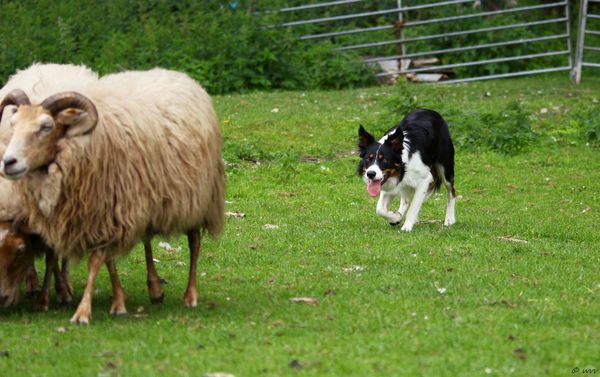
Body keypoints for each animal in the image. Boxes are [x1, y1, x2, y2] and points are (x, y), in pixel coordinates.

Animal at [0, 67, 225, 324]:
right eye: (13, 123)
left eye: (46, 127)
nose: (8, 162)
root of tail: (181, 76)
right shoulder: (100, 211)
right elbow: (104, 259)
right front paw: (116, 301)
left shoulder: (108, 210)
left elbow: (96, 260)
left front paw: (83, 310)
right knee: (147, 239)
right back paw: (155, 289)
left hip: (198, 197)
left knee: (194, 242)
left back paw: (190, 295)